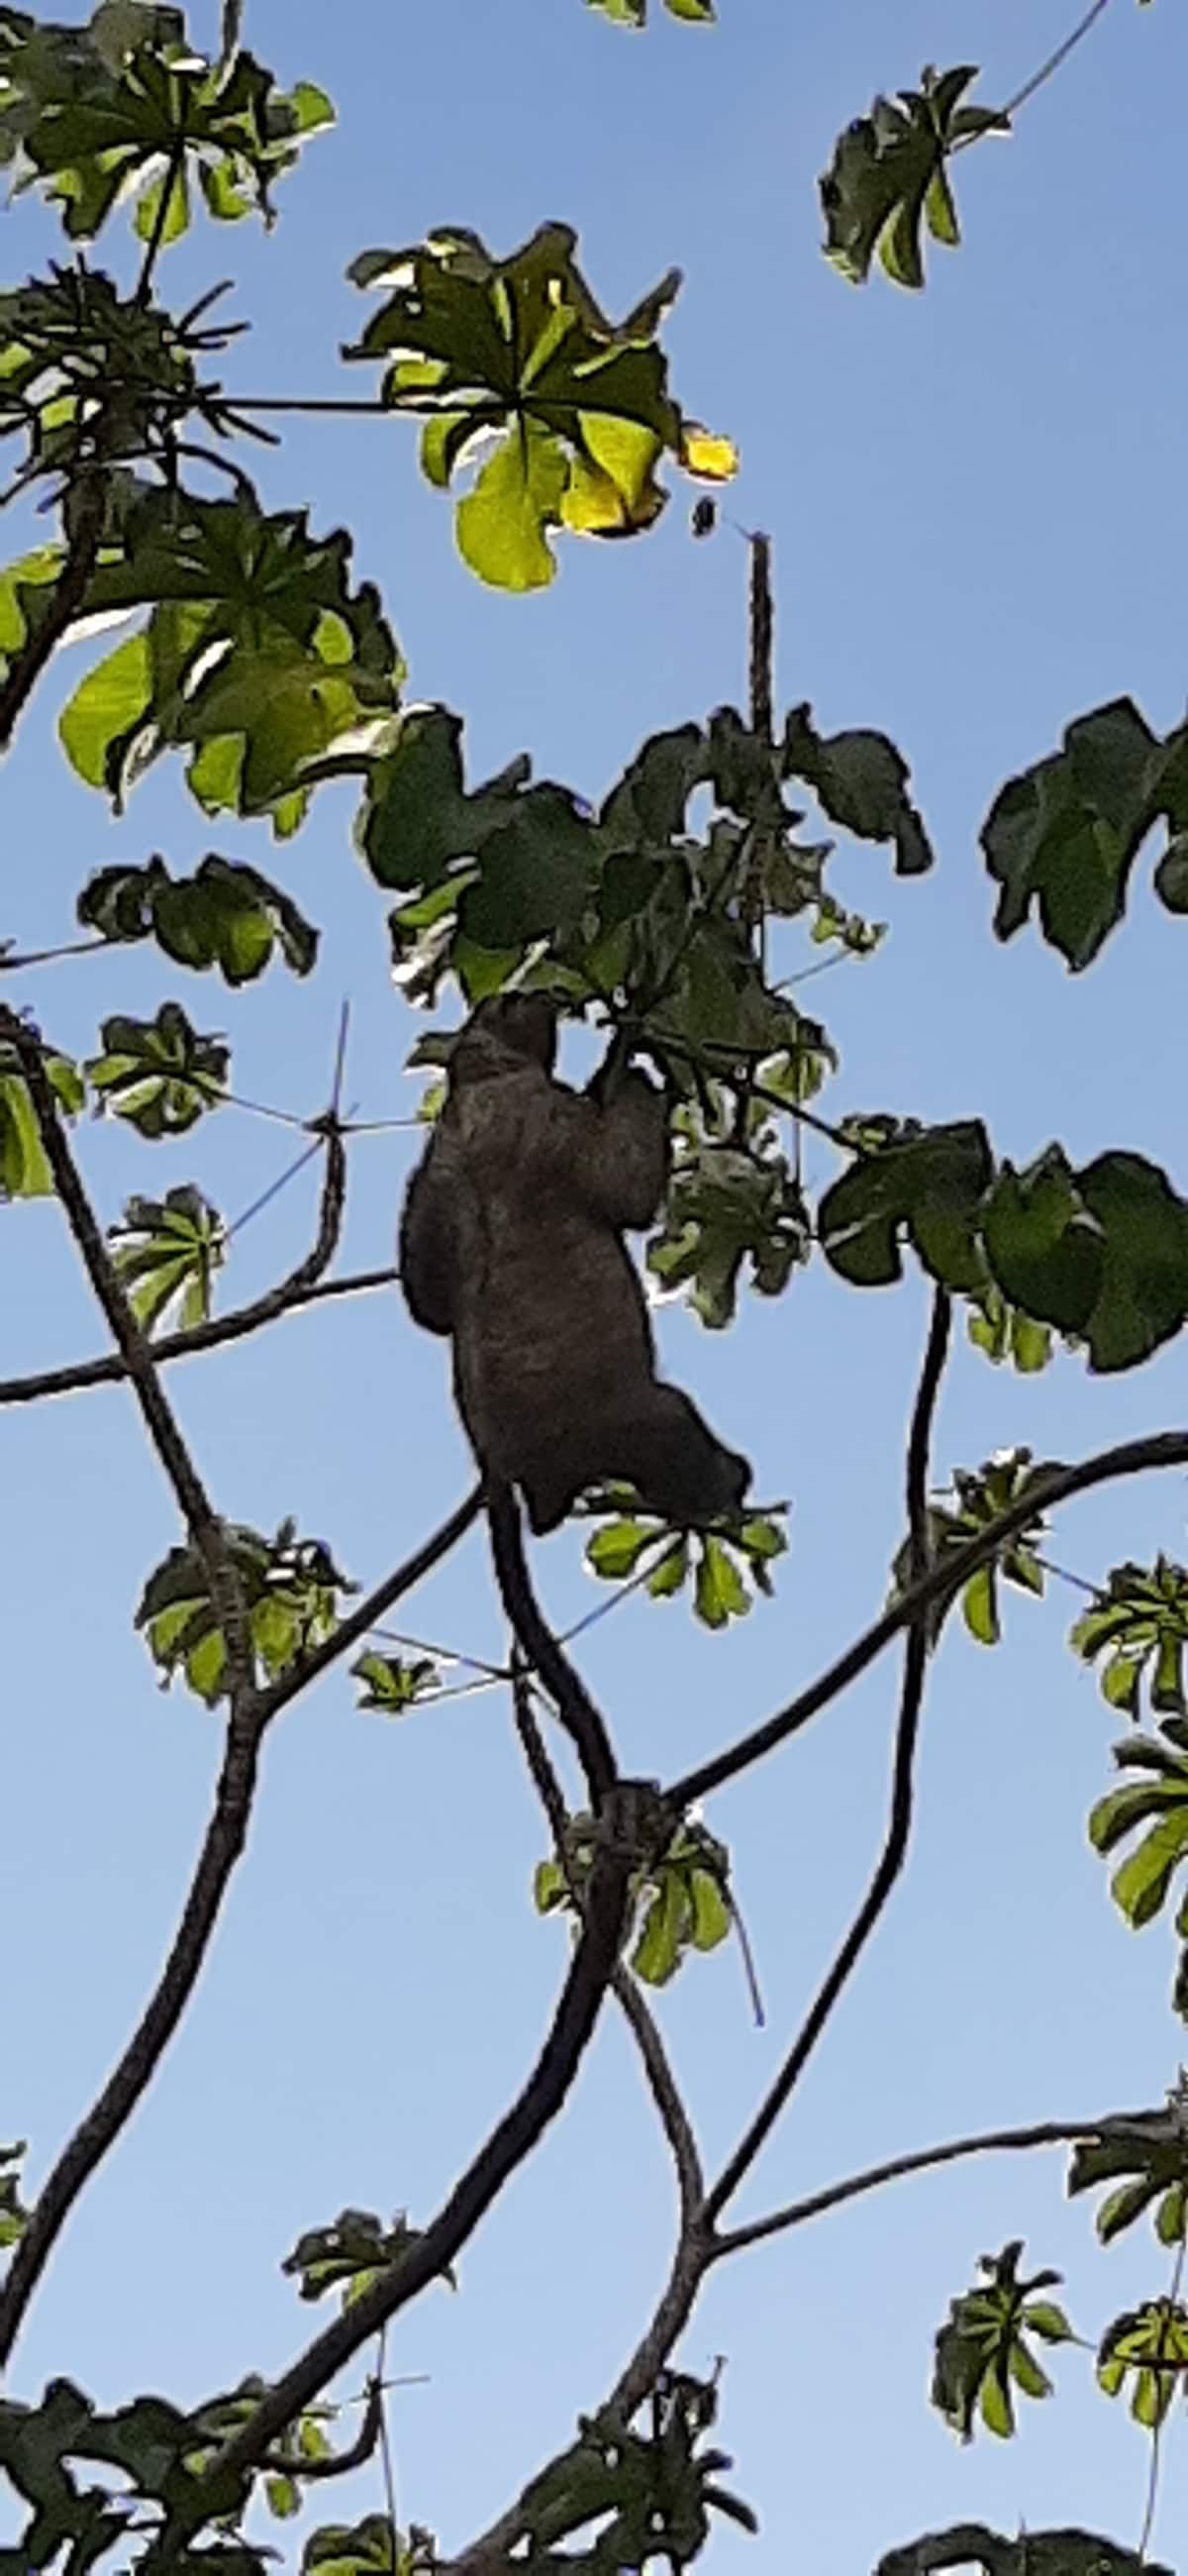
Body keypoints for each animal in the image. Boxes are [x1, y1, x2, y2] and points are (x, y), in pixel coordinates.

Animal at [399, 993, 752, 1535]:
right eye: (510, 1002)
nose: (539, 994)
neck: (481, 1081)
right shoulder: (545, 1107)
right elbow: (623, 1186)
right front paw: (633, 1069)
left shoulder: (440, 1162)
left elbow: (428, 1305)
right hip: (609, 1417)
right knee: (668, 1420)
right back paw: (722, 1484)